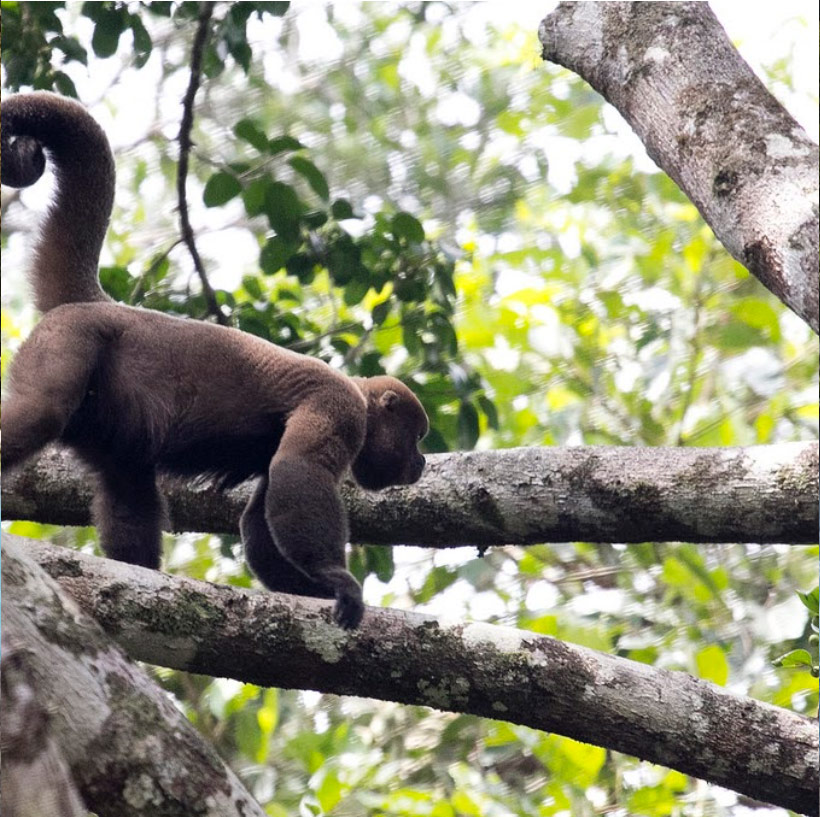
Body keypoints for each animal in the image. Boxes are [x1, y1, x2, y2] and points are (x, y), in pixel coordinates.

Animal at [1, 92, 428, 629]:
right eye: (417, 436)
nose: (422, 462)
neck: (360, 396)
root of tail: (98, 303)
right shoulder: (338, 404)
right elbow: (299, 470)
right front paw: (339, 581)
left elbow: (260, 520)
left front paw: (315, 589)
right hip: (69, 338)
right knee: (42, 412)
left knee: (129, 485)